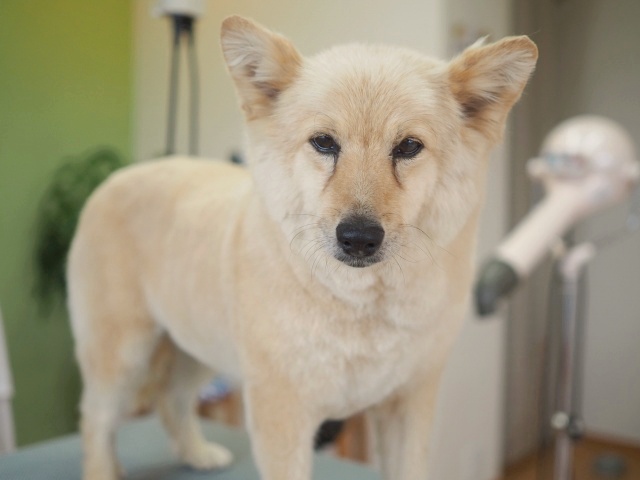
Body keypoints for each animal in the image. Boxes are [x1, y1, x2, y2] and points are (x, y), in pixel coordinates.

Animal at [67, 15, 537, 480]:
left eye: (408, 147)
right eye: (324, 142)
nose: (358, 237)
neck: (361, 307)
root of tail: (117, 176)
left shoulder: (409, 403)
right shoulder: (282, 414)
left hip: (194, 344)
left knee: (170, 399)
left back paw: (197, 454)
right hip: (122, 356)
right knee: (94, 421)